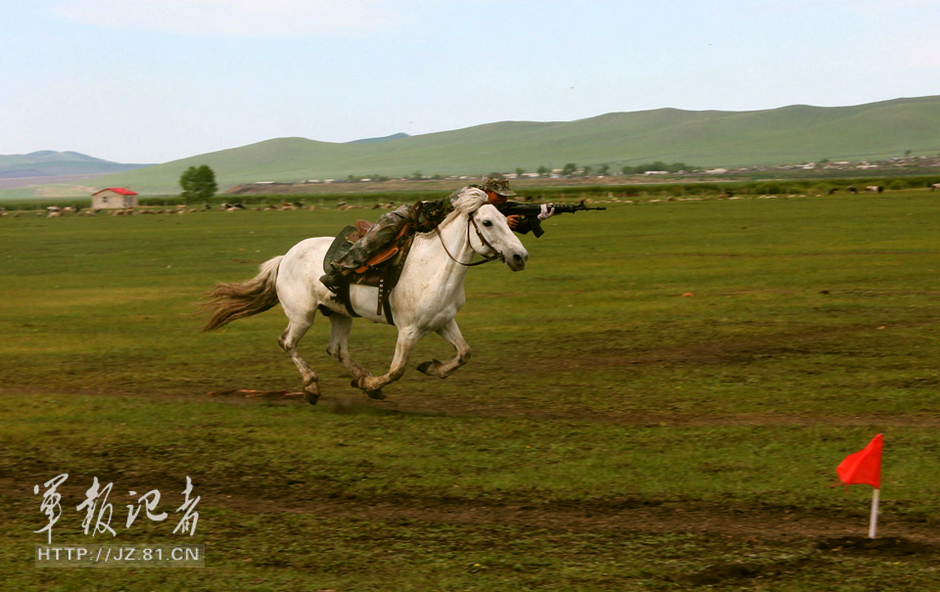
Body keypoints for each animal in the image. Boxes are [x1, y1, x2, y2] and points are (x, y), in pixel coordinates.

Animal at [202, 187, 529, 403]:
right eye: (487, 222)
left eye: (506, 219)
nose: (520, 256)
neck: (435, 266)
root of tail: (285, 257)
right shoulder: (409, 330)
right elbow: (397, 369)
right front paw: (374, 384)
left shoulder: (443, 322)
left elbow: (463, 353)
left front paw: (429, 368)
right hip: (301, 315)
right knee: (288, 343)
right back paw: (312, 387)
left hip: (339, 314)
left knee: (336, 350)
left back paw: (358, 377)